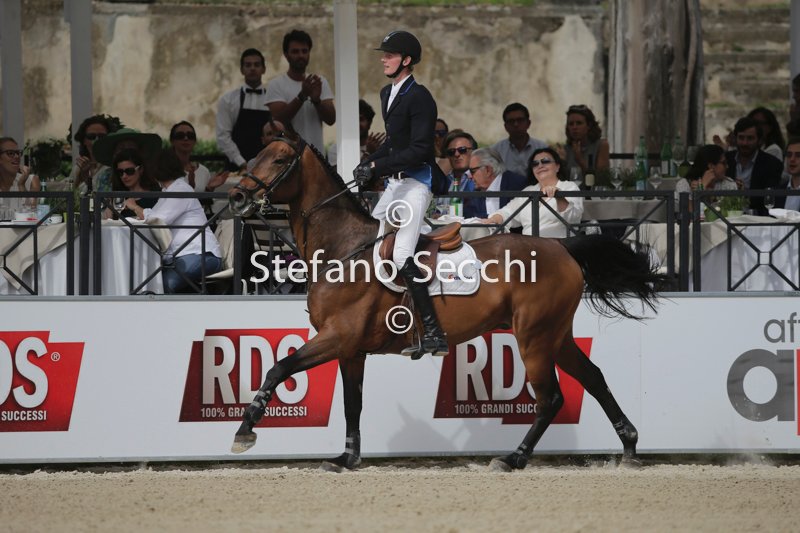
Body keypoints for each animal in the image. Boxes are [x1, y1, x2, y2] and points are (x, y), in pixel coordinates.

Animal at [227, 137, 667, 471]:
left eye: (279, 159)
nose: (235, 196)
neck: (343, 250)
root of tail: (563, 249)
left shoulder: (338, 337)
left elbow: (279, 368)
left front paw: (245, 431)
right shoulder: (351, 351)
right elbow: (353, 403)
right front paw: (346, 458)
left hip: (534, 338)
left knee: (551, 398)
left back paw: (514, 458)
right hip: (554, 336)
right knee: (593, 378)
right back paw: (629, 447)